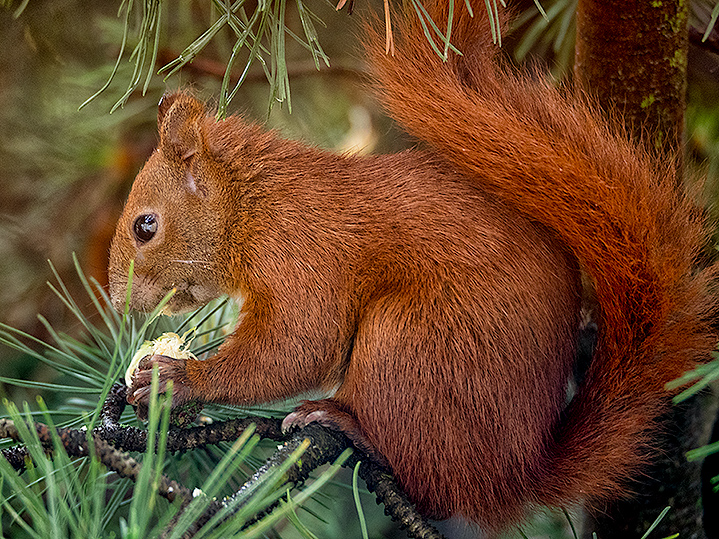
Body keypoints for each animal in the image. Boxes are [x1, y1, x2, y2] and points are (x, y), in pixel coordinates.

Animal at [107, 0, 719, 532]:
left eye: (146, 226)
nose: (116, 300)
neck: (252, 203)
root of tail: (516, 476)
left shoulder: (302, 257)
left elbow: (297, 346)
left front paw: (177, 378)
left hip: (407, 340)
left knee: (431, 484)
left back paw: (347, 423)